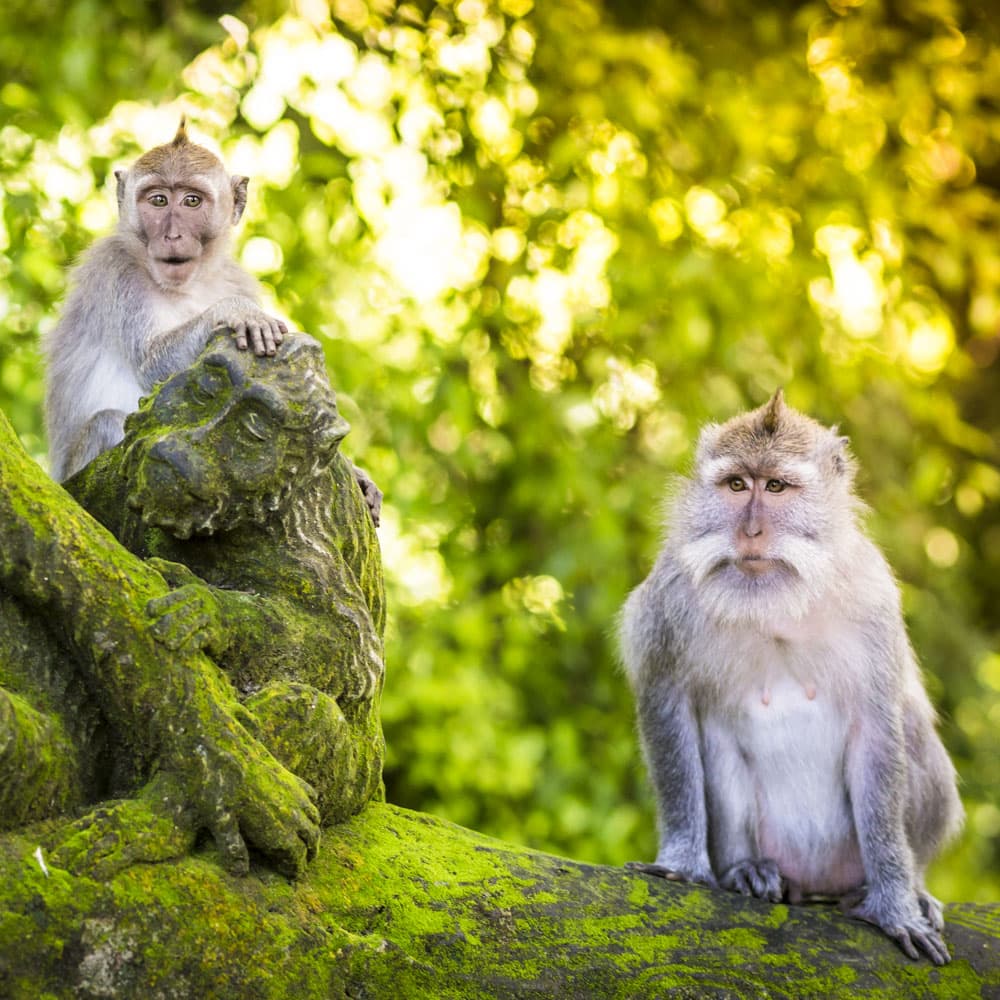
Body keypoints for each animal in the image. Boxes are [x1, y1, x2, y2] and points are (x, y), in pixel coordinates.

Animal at [44, 119, 288, 483]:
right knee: (108, 422)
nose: (172, 235)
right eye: (158, 200)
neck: (189, 285)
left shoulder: (238, 279)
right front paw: (234, 310)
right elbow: (150, 363)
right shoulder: (118, 271)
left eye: (191, 201)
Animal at [619, 390, 963, 965]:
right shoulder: (671, 597)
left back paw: (904, 886)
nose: (751, 531)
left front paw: (895, 905)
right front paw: (684, 862)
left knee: (912, 729)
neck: (776, 601)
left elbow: (878, 730)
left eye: (776, 486)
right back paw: (747, 870)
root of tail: (814, 883)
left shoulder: (872, 599)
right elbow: (668, 704)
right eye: (738, 485)